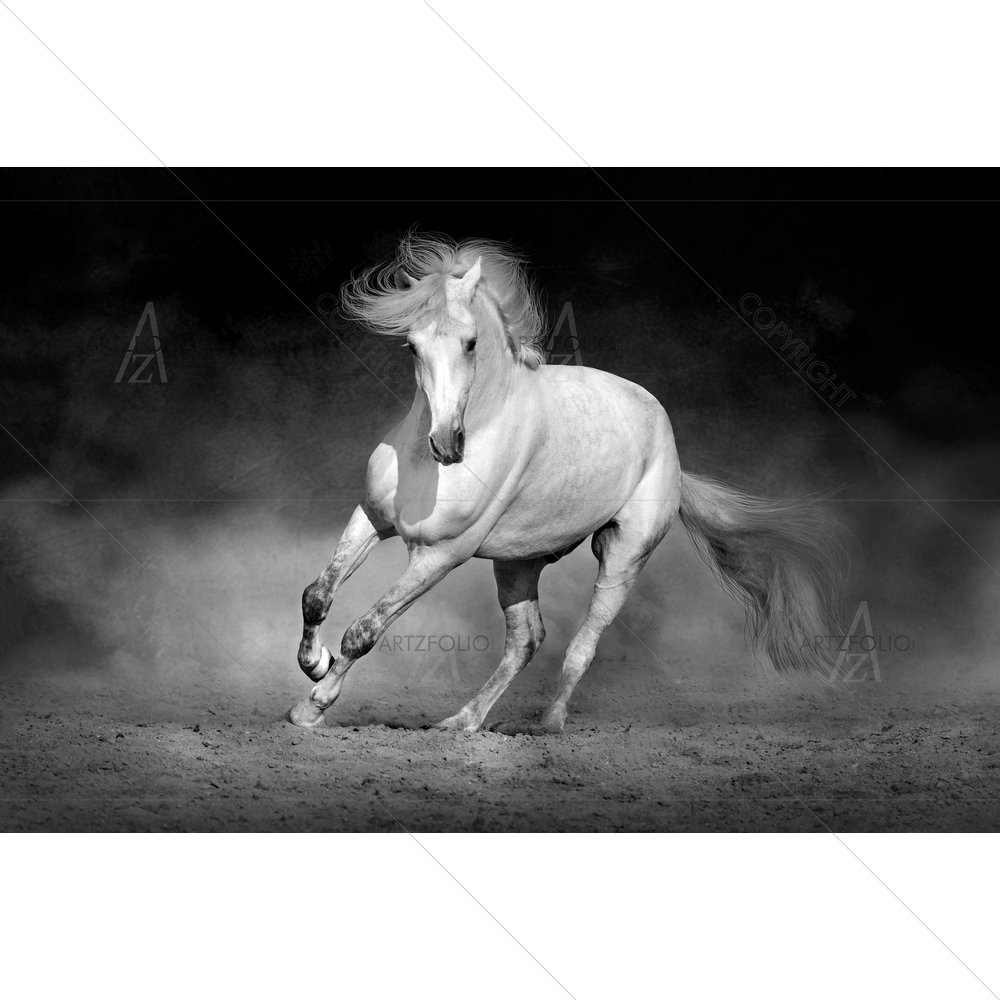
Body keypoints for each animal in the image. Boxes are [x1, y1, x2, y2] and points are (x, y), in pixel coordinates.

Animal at [288, 232, 846, 734]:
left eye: (471, 343)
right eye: (411, 346)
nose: (447, 444)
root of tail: (669, 445)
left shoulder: (440, 555)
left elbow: (365, 630)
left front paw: (311, 708)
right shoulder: (371, 519)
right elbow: (317, 594)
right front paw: (313, 665)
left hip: (622, 555)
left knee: (582, 644)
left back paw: (549, 724)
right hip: (517, 562)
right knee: (526, 640)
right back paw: (462, 722)